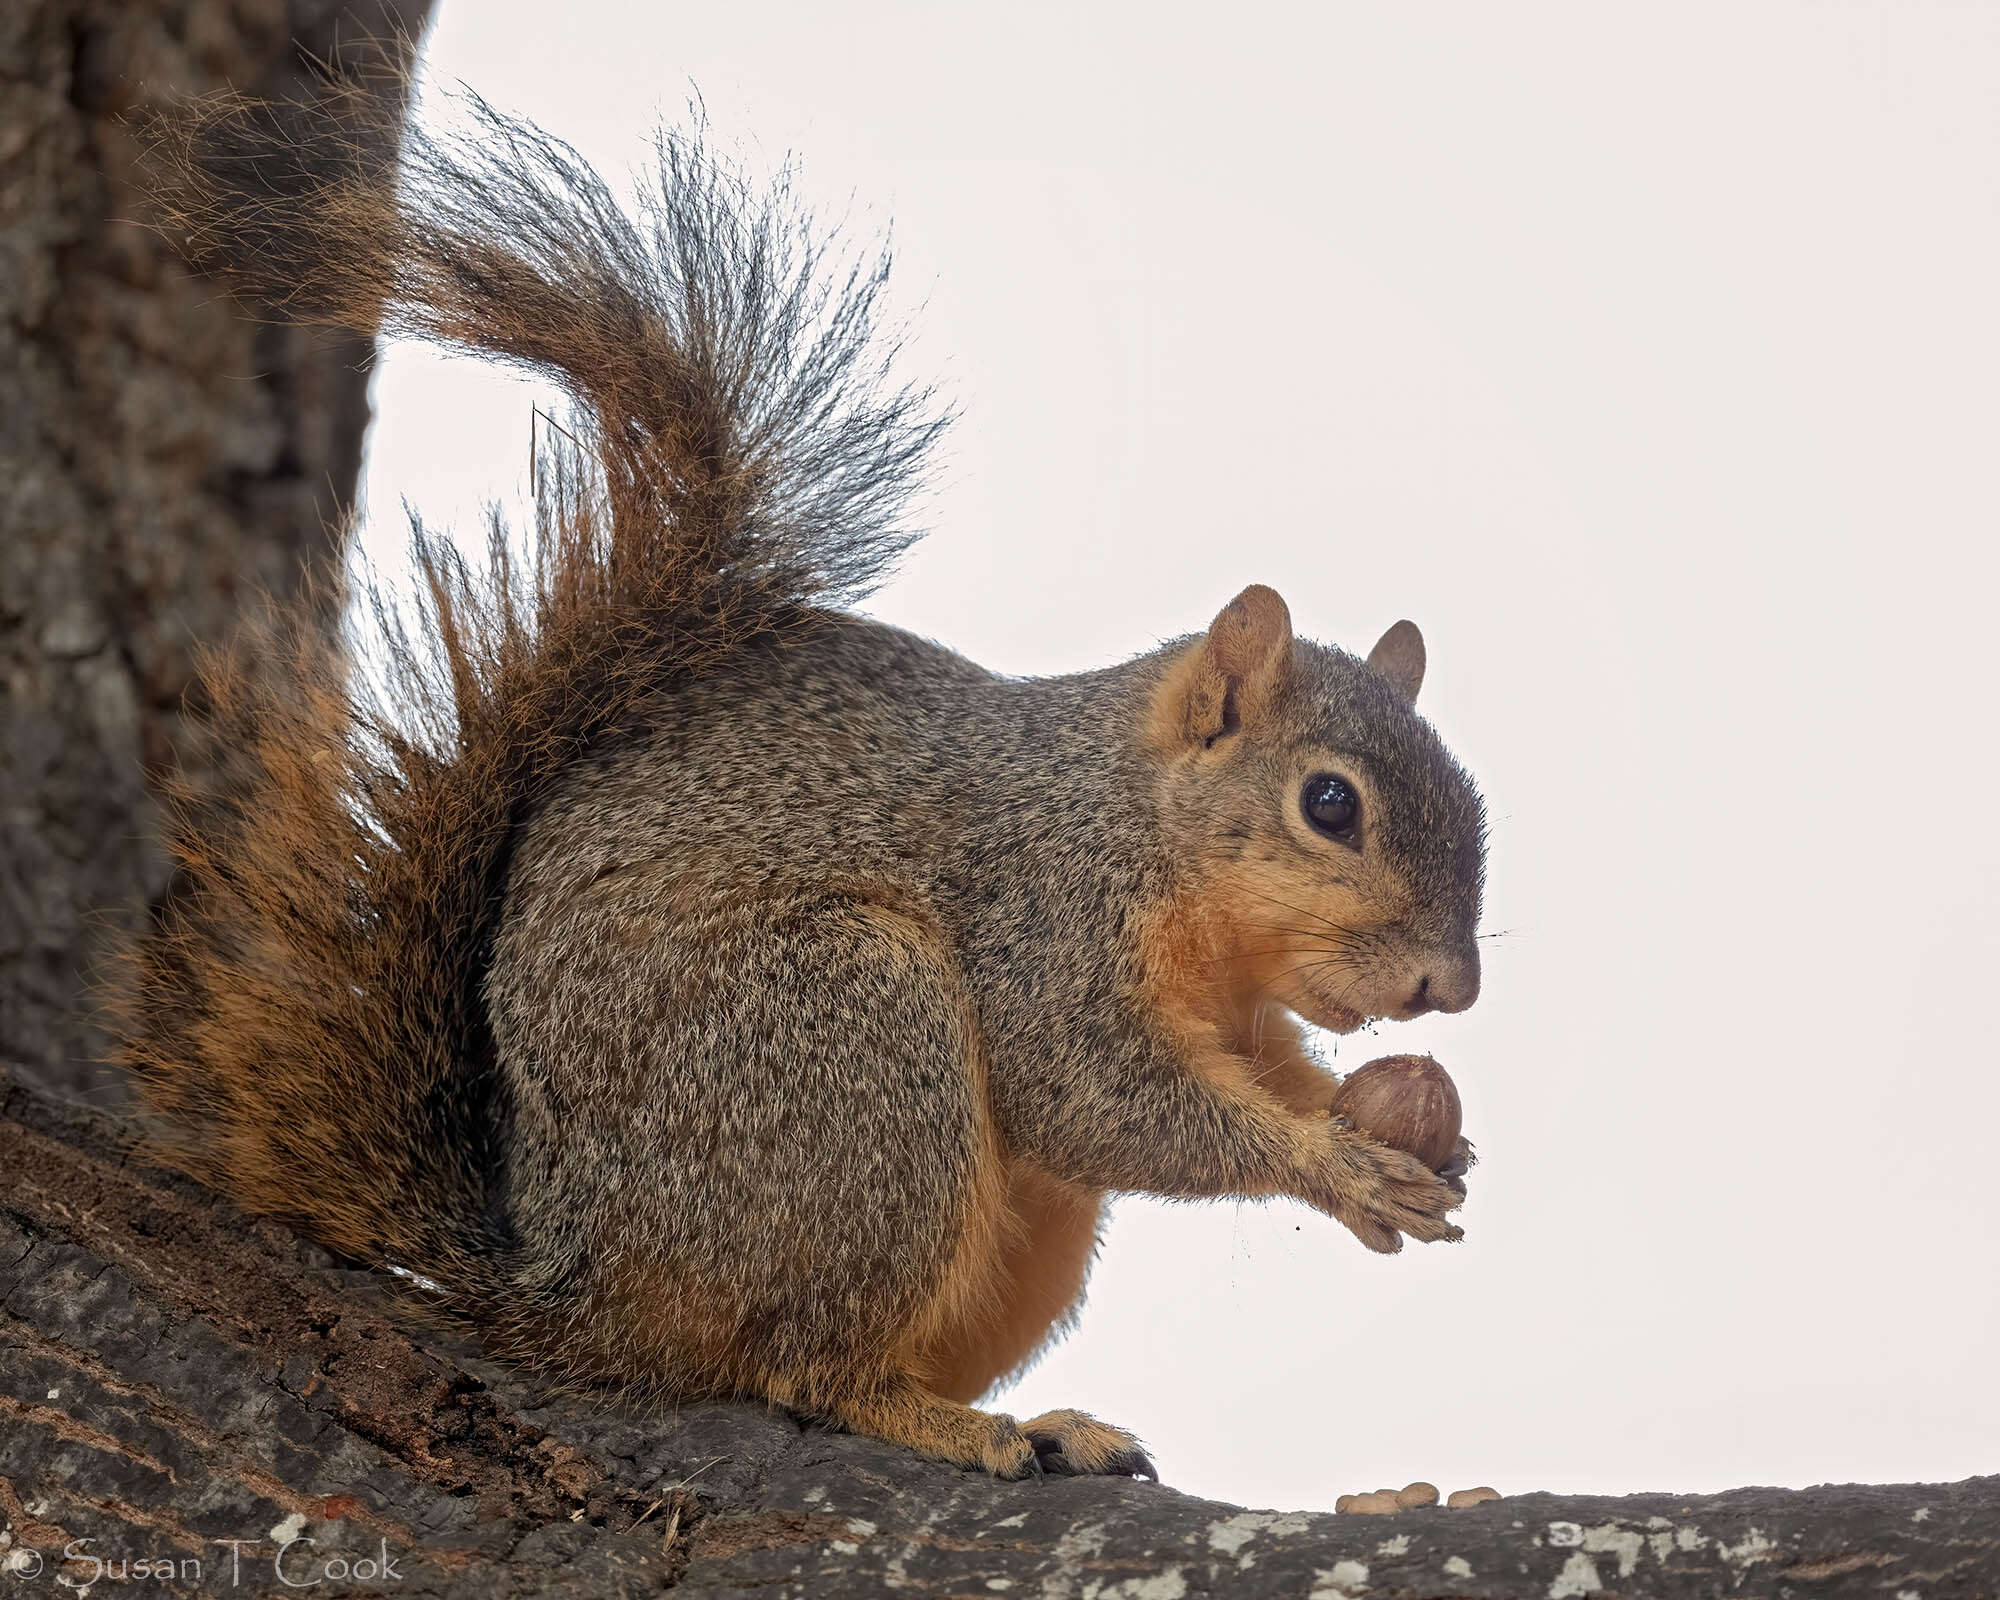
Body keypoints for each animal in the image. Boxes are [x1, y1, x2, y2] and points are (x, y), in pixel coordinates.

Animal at [113, 72, 1488, 1472]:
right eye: (1329, 804)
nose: (1449, 987)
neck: (1144, 830)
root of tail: (575, 1285)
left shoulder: (1236, 1010)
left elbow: (1257, 1070)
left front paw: (1405, 1139)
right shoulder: (1045, 916)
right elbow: (1092, 1096)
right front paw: (1335, 1165)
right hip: (845, 1037)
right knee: (798, 1364)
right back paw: (948, 1422)